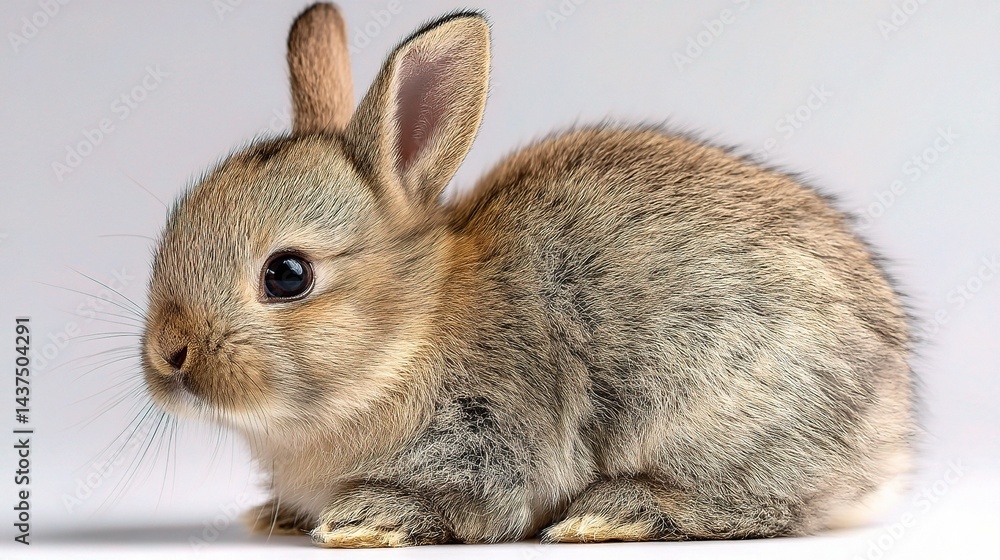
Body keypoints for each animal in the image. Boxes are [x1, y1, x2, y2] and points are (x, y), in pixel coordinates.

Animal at [139, 2, 915, 548]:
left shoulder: (486, 441)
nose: (167, 356)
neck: (407, 337)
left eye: (287, 275)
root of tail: (891, 425)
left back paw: (612, 515)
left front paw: (362, 520)